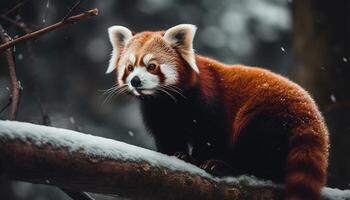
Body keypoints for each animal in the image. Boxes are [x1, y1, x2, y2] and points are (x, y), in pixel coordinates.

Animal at [105, 24, 330, 199]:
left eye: (151, 66)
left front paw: (194, 159)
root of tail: (311, 114)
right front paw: (176, 154)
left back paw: (225, 166)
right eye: (130, 67)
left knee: (256, 146)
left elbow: (211, 135)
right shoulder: (158, 113)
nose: (135, 81)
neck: (166, 100)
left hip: (269, 115)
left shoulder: (208, 101)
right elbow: (168, 135)